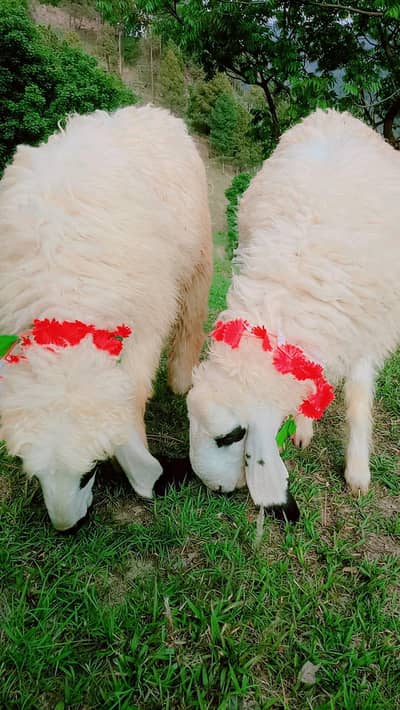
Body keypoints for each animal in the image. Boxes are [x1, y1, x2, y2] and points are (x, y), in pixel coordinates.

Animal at [0, 104, 212, 530]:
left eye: (89, 473)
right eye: (37, 476)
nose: (67, 527)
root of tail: (150, 110)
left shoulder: (144, 326)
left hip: (198, 258)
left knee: (191, 321)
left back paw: (181, 379)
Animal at [187, 109, 400, 516]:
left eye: (232, 436)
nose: (214, 488)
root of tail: (332, 113)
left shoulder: (367, 327)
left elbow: (358, 399)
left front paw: (357, 471)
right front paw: (302, 428)